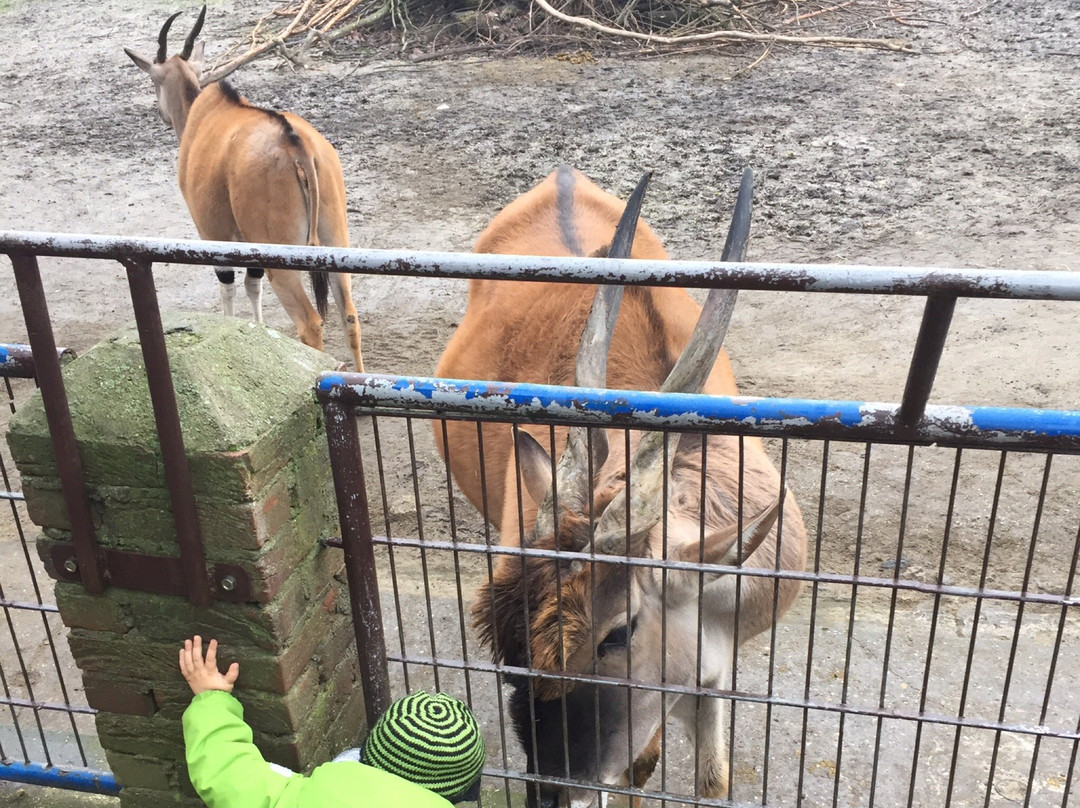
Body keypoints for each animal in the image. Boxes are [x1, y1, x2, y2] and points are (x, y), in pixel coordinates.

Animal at [124, 6, 365, 371]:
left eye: (154, 79)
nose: (160, 114)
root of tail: (295, 143)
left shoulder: (212, 234)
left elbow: (228, 286)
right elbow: (253, 284)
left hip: (283, 261)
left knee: (310, 322)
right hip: (336, 245)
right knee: (350, 317)